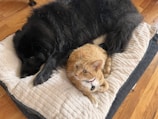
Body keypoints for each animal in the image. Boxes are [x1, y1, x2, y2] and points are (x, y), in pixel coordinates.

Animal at [13, 0, 142, 85]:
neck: (49, 25)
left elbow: (51, 59)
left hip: (113, 20)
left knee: (118, 41)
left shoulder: (66, 45)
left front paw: (42, 75)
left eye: (31, 57)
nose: (21, 76)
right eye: (21, 58)